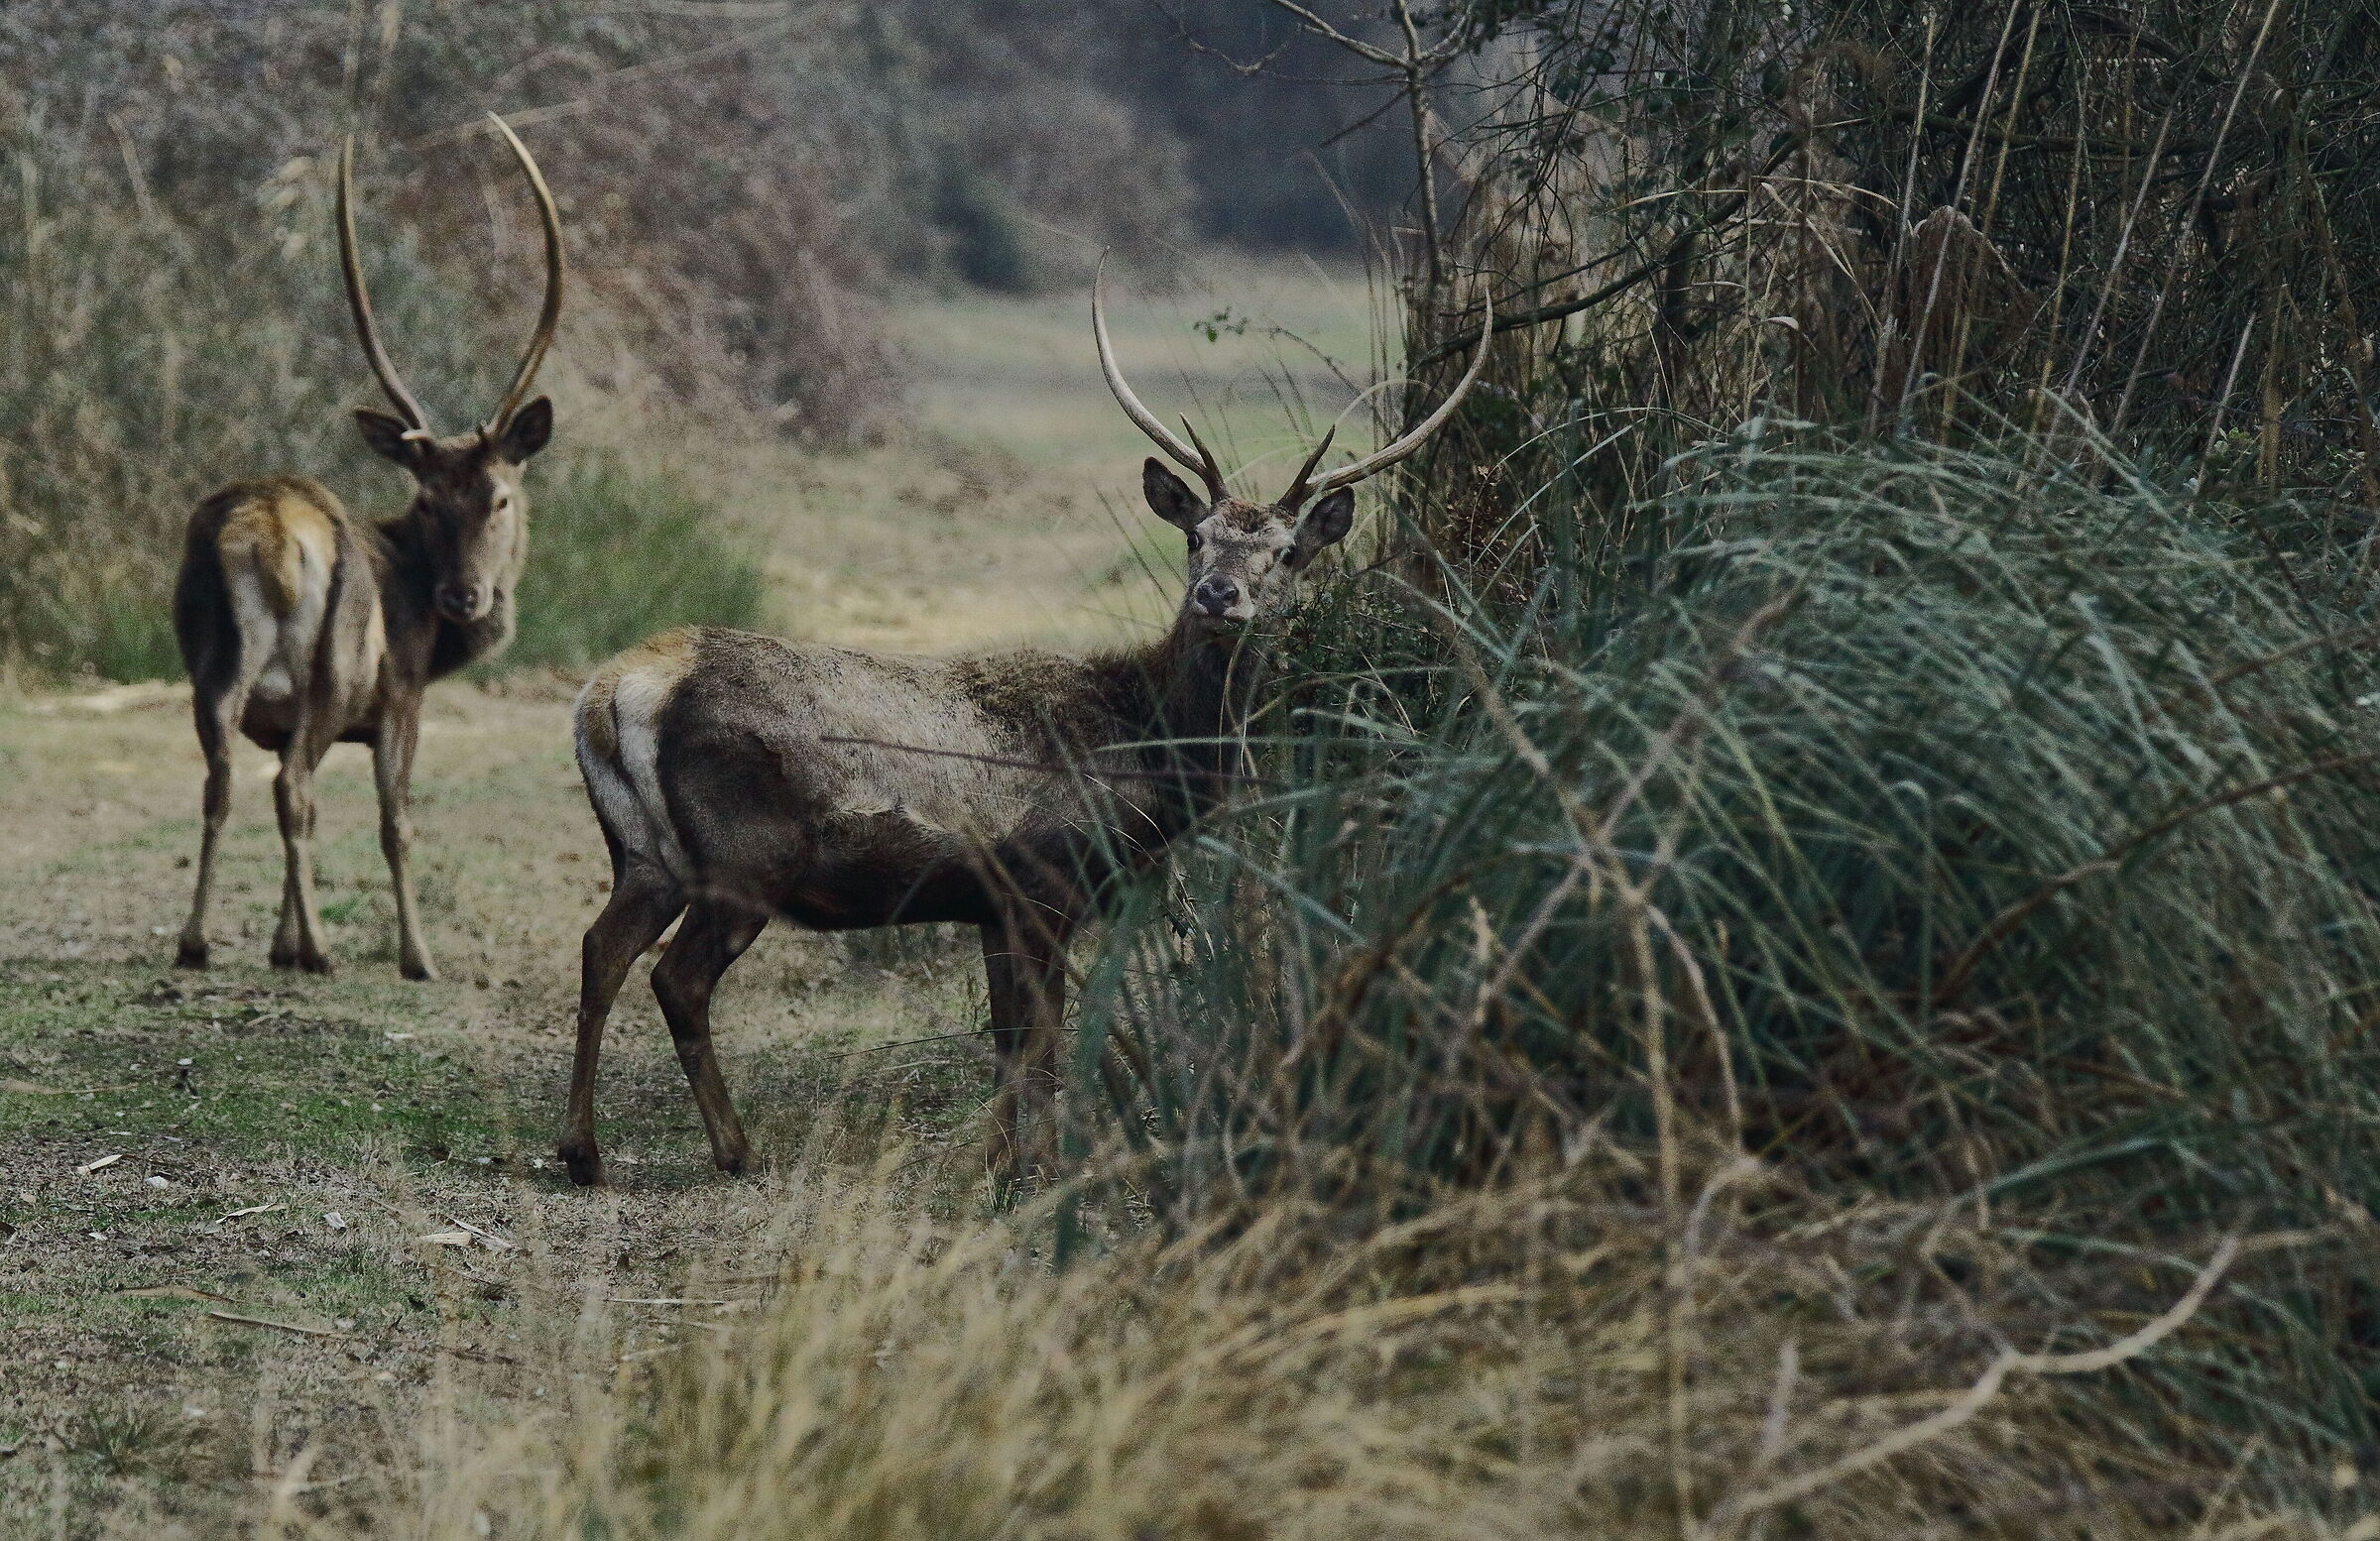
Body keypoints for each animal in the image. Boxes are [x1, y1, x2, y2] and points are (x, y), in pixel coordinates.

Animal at [171, 114, 564, 980]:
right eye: (430, 500)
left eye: (497, 497)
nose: (463, 597)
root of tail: (270, 535)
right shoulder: (402, 696)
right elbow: (394, 822)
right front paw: (416, 955)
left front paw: (280, 941)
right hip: (337, 670)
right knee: (289, 787)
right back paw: (324, 951)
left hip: (212, 665)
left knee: (225, 781)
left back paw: (196, 941)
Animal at [554, 269, 1488, 1187]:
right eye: (1196, 536)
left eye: (1288, 551)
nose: (1219, 594)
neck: (1145, 742)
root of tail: (618, 687)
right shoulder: (1046, 877)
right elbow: (1042, 1045)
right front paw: (1036, 1169)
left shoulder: (992, 902)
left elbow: (1010, 1043)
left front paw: (1004, 1165)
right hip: (745, 857)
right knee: (677, 978)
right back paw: (735, 1149)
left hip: (645, 852)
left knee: (600, 950)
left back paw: (584, 1151)